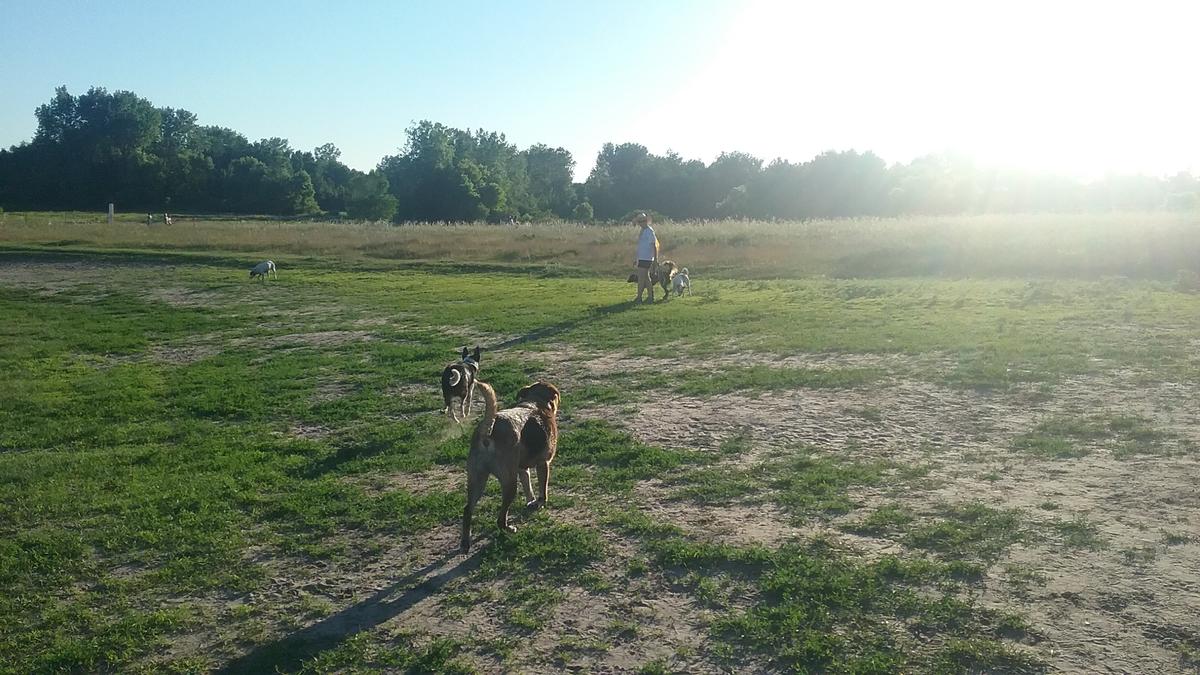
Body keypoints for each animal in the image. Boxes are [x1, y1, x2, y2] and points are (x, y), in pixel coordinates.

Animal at [460, 381, 559, 550]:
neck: (536, 402)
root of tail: (488, 432)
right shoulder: (543, 463)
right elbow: (542, 489)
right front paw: (540, 503)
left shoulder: (522, 469)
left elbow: (528, 487)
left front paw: (531, 502)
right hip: (509, 483)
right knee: (500, 519)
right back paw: (509, 529)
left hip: (477, 480)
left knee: (467, 510)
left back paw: (466, 542)